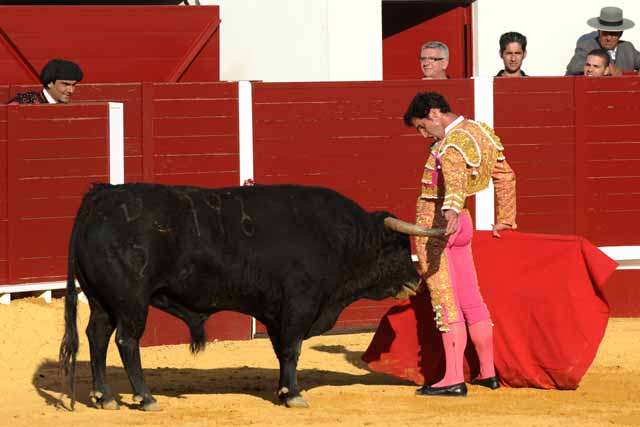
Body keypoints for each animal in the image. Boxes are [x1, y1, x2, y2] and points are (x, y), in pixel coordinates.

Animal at [58, 183, 440, 412]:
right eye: (397, 249)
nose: (416, 281)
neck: (340, 239)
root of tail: (102, 195)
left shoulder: (276, 314)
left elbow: (282, 352)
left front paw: (284, 392)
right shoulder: (299, 307)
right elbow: (292, 350)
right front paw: (294, 395)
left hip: (102, 302)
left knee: (97, 336)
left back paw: (105, 398)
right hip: (131, 302)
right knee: (127, 340)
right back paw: (146, 397)